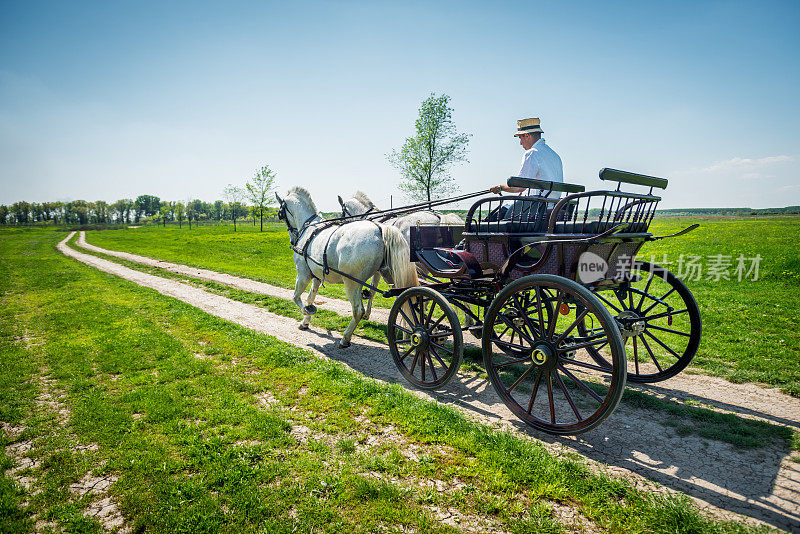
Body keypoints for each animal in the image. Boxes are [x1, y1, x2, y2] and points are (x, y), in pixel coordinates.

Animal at [276, 186, 418, 350]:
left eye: (280, 214)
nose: (293, 240)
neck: (310, 229)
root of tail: (380, 228)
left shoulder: (303, 274)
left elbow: (296, 297)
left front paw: (307, 312)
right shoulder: (316, 276)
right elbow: (310, 297)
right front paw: (305, 321)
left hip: (352, 282)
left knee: (358, 310)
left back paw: (345, 338)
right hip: (391, 276)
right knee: (407, 301)